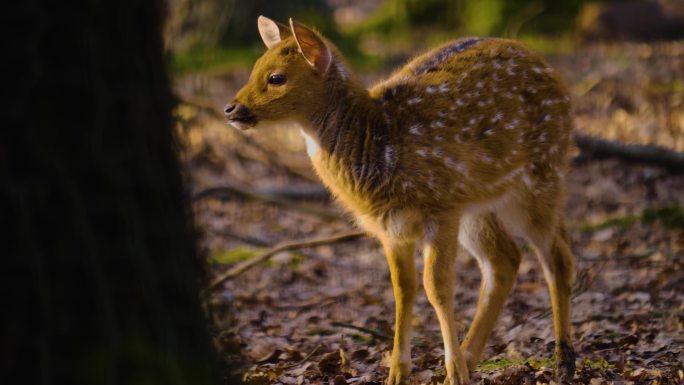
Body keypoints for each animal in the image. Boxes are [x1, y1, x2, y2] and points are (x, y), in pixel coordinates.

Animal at [226, 16, 576, 382]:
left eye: (276, 77)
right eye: (254, 68)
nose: (231, 109)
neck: (380, 148)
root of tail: (550, 69)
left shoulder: (441, 206)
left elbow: (436, 286)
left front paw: (453, 372)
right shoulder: (392, 227)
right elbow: (402, 289)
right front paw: (399, 372)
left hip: (540, 174)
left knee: (557, 257)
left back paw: (562, 360)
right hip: (479, 204)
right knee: (505, 259)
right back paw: (472, 358)